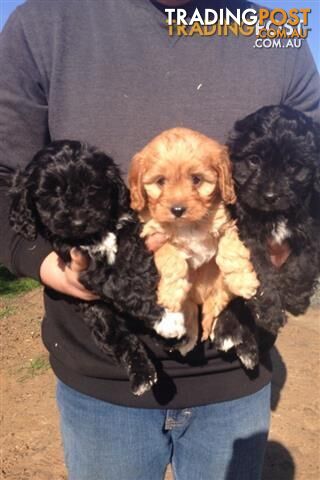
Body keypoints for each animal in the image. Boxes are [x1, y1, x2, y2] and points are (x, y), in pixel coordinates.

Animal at [8, 141, 186, 396]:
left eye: (92, 187)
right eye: (51, 193)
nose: (78, 221)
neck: (95, 234)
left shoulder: (131, 233)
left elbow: (137, 269)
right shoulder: (86, 268)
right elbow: (123, 288)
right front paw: (164, 317)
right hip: (98, 313)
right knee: (119, 338)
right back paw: (143, 374)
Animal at [212, 106, 320, 368]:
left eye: (293, 165)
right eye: (254, 160)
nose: (270, 196)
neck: (275, 215)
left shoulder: (311, 227)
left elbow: (304, 264)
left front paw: (295, 298)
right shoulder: (246, 237)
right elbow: (261, 272)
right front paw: (270, 312)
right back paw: (228, 333)